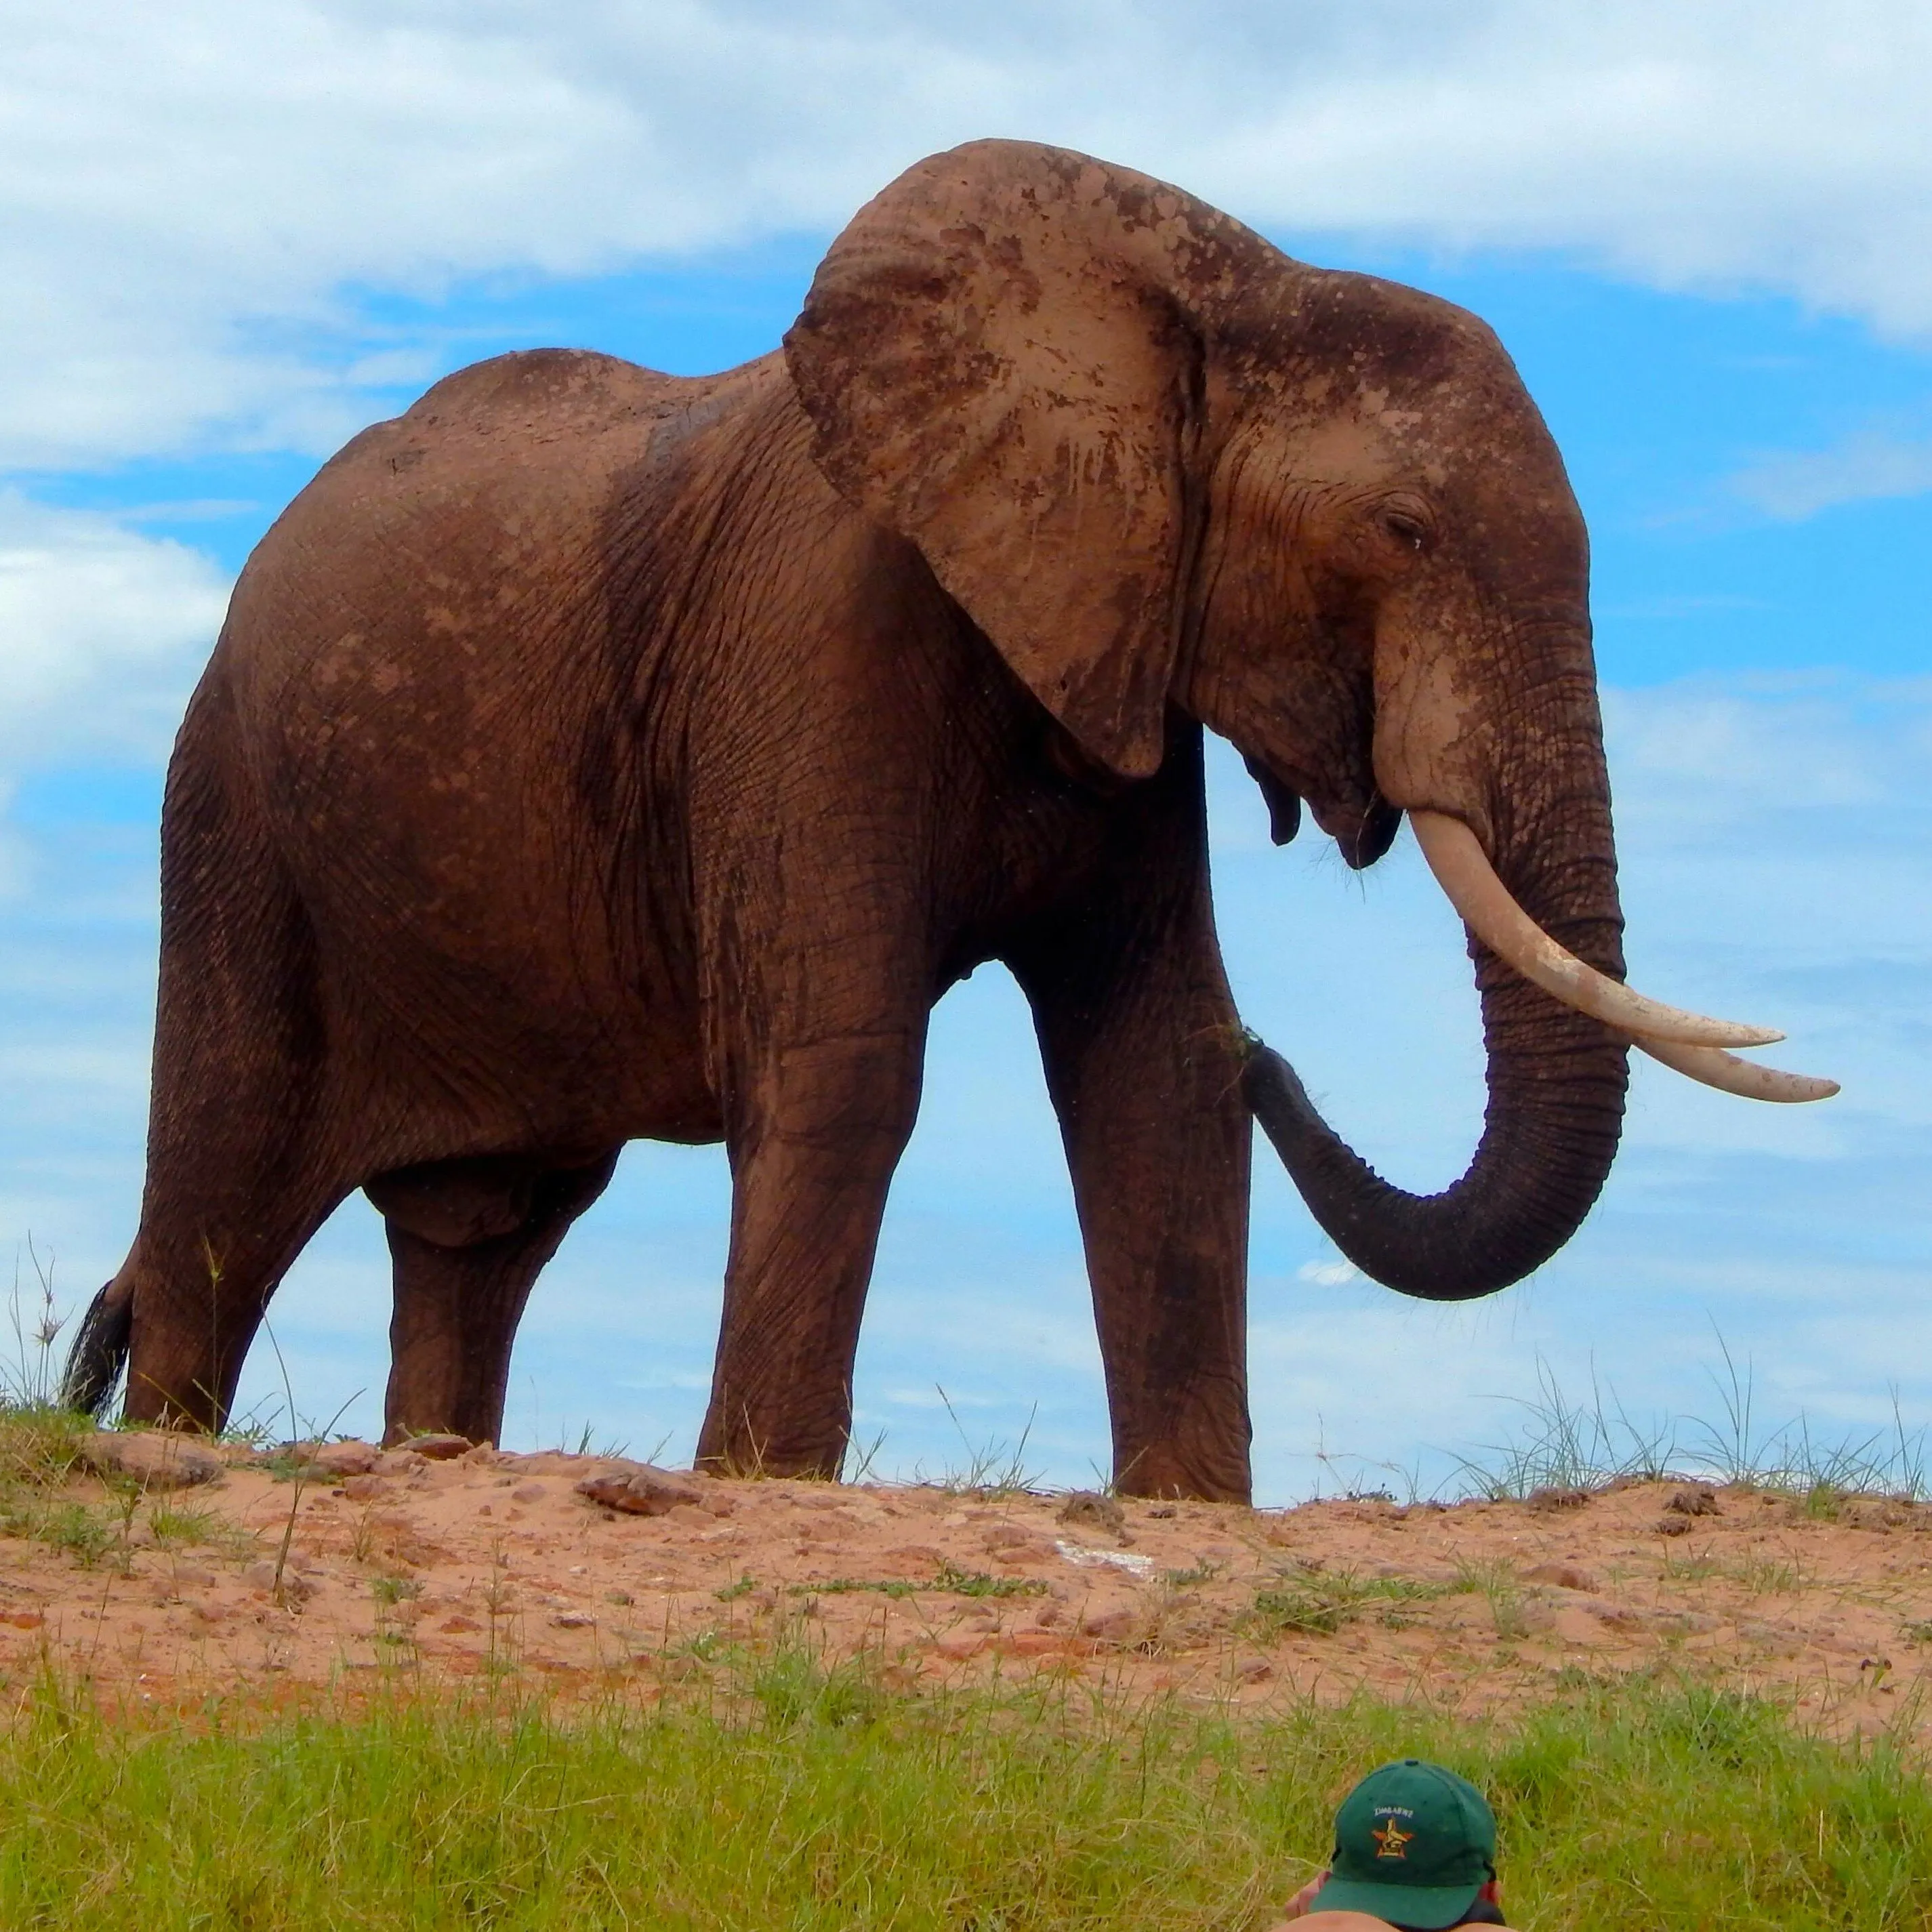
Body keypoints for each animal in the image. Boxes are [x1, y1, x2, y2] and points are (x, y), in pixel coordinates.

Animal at [62, 139, 1830, 1502]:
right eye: (1397, 529)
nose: (1292, 1061)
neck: (1213, 291)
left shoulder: (1116, 649)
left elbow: (1156, 1066)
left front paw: (1187, 1507)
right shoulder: (823, 631)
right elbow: (845, 1061)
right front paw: (762, 1485)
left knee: (480, 1238)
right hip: (231, 811)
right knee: (221, 1194)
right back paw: (164, 1439)